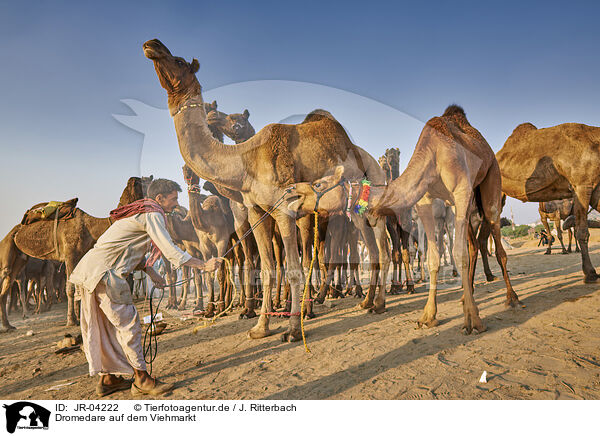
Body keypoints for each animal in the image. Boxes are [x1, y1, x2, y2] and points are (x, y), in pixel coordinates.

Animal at [0, 175, 145, 328]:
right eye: (141, 182)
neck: (92, 227)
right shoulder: (70, 254)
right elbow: (70, 288)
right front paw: (71, 320)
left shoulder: (80, 256)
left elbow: (78, 285)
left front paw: (80, 318)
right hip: (7, 248)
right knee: (6, 274)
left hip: (20, 259)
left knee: (8, 283)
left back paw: (8, 326)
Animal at [144, 39, 392, 340]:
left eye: (179, 61)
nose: (152, 45)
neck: (245, 162)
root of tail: (370, 159)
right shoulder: (255, 211)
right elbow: (266, 268)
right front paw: (260, 328)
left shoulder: (285, 208)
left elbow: (294, 269)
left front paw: (294, 329)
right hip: (358, 208)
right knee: (374, 248)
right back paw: (368, 302)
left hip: (369, 198)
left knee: (379, 249)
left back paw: (376, 303)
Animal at [286, 105, 520, 334]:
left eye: (318, 184)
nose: (291, 191)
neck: (435, 152)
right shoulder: (424, 200)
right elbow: (432, 256)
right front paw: (428, 316)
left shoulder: (461, 190)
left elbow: (456, 252)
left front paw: (473, 320)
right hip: (459, 204)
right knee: (471, 243)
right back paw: (465, 293)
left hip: (489, 182)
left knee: (494, 234)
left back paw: (511, 298)